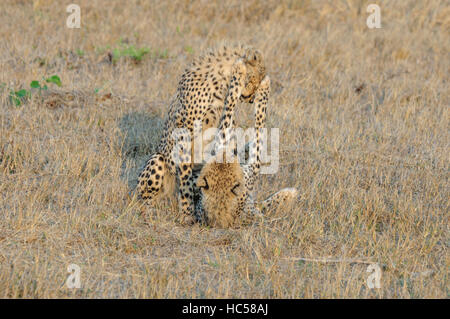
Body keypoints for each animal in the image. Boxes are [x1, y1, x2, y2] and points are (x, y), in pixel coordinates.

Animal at [135, 45, 266, 225]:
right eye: (255, 80)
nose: (251, 98)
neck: (221, 80)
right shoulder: (184, 133)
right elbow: (185, 176)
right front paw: (187, 212)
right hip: (158, 159)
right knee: (144, 197)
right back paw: (150, 210)